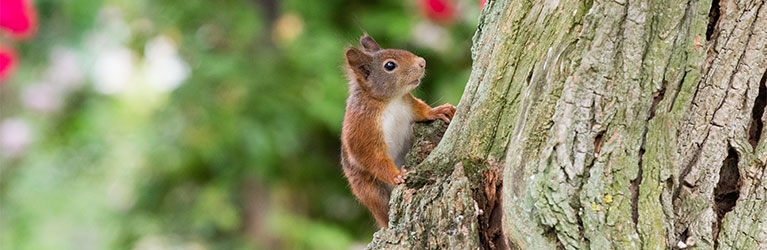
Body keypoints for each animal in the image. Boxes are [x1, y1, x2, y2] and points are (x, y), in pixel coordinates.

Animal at [342, 35, 456, 229]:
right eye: (389, 65)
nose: (422, 62)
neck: (390, 101)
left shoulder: (409, 103)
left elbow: (422, 110)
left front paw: (438, 111)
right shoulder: (361, 126)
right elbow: (370, 157)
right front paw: (396, 175)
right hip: (370, 191)